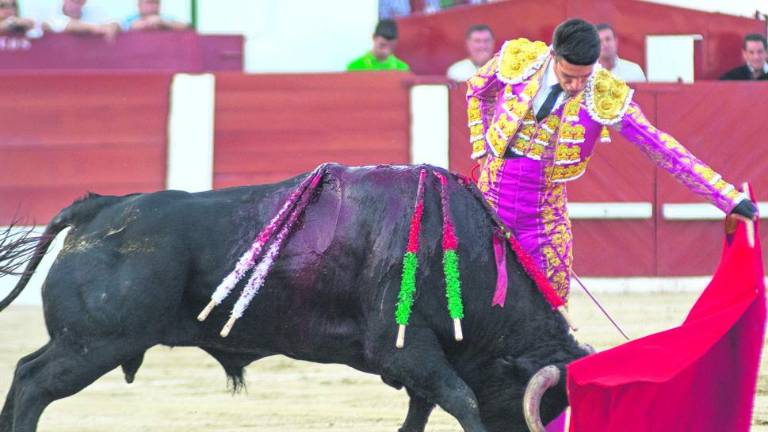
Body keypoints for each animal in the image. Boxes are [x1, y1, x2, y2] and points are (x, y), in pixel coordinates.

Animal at [0, 165, 588, 432]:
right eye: (543, 409)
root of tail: (98, 207)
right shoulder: (407, 349)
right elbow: (463, 399)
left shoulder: (416, 360)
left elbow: (423, 409)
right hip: (96, 342)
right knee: (33, 381)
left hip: (85, 342)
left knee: (25, 371)